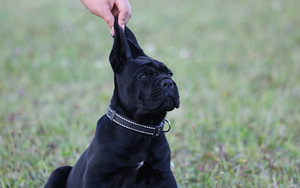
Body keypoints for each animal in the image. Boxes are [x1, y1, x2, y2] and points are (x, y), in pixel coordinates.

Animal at [44, 16, 179, 187]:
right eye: (143, 76)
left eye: (170, 74)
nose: (168, 83)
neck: (141, 128)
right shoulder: (96, 177)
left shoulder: (163, 174)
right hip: (58, 171)